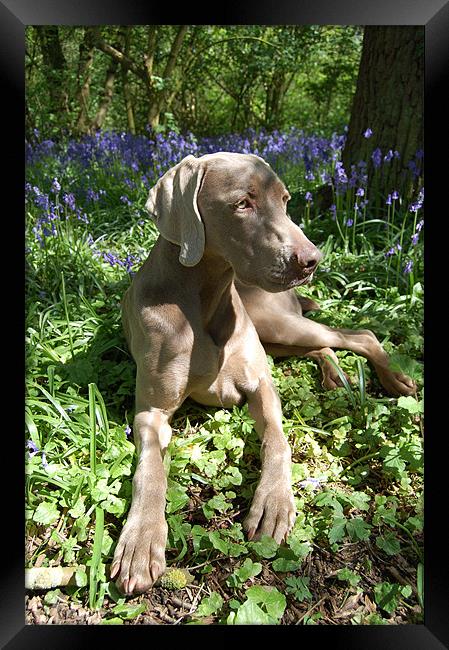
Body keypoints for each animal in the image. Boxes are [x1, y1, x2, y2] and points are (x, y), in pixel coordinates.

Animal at [110, 152, 414, 592]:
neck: (204, 297)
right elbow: (149, 469)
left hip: (277, 323)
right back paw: (334, 377)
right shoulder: (151, 411)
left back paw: (396, 380)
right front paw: (140, 541)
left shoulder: (261, 385)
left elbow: (277, 440)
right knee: (330, 344)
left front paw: (273, 501)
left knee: (360, 334)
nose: (312, 260)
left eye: (286, 201)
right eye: (242, 203)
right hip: (278, 333)